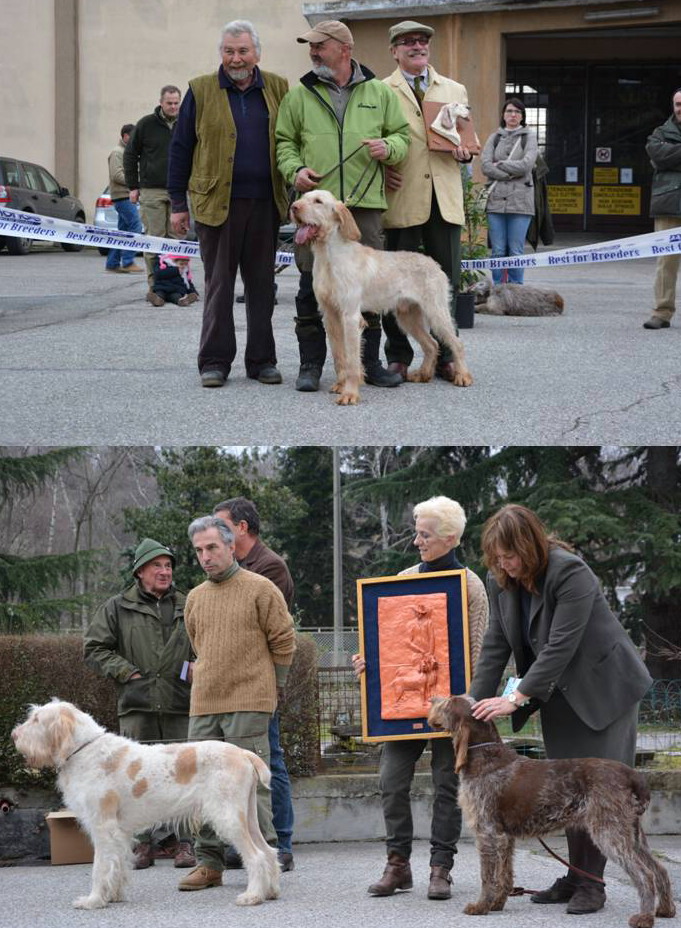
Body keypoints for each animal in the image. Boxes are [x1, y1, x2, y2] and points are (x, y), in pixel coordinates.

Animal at [10, 700, 278, 908]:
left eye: (36, 719)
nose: (14, 735)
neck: (84, 750)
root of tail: (243, 753)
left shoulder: (102, 827)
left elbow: (99, 867)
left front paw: (93, 900)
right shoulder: (119, 832)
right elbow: (117, 863)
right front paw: (114, 896)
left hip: (228, 817)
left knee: (255, 856)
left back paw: (253, 896)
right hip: (247, 817)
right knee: (267, 851)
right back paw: (270, 891)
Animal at [288, 188, 472, 402]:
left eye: (318, 201)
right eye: (303, 197)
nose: (294, 207)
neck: (329, 257)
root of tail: (434, 263)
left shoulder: (350, 317)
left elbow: (352, 360)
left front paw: (350, 393)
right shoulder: (331, 316)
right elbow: (339, 356)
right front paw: (341, 385)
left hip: (436, 312)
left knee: (456, 343)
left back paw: (462, 376)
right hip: (407, 317)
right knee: (432, 344)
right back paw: (423, 374)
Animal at [428, 696, 672, 928]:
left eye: (448, 702)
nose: (432, 700)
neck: (485, 755)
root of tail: (631, 774)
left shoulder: (488, 832)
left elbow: (488, 876)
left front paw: (481, 906)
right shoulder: (505, 836)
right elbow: (505, 875)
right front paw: (497, 903)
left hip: (609, 832)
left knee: (645, 874)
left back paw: (645, 918)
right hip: (631, 832)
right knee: (659, 869)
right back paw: (665, 910)